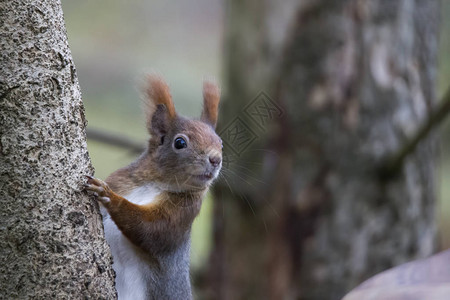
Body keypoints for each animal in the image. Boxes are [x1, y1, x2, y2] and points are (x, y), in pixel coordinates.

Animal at [84, 75, 221, 300]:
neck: (154, 184)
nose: (216, 159)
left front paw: (109, 196)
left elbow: (151, 230)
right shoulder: (121, 180)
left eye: (220, 143)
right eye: (180, 142)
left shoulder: (183, 212)